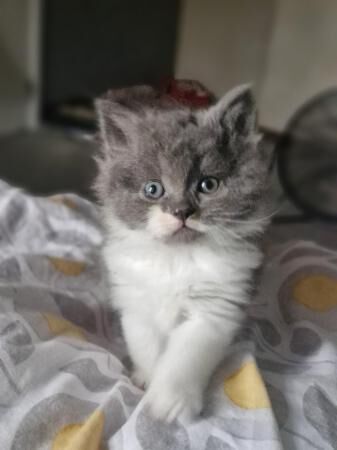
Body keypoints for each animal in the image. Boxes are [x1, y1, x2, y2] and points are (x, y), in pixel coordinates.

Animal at [92, 83, 270, 422]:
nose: (182, 211)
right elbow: (147, 346)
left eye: (208, 185)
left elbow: (185, 357)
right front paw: (147, 379)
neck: (176, 259)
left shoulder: (215, 308)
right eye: (153, 189)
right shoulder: (136, 302)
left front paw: (170, 402)